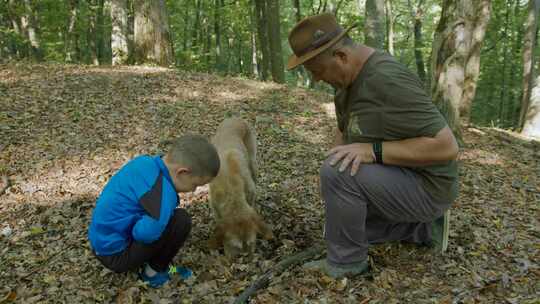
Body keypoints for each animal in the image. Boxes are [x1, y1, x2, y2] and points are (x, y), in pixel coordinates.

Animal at [208, 117, 272, 258]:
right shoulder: (215, 207)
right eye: (234, 246)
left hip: (253, 164)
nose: (245, 258)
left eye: (251, 243)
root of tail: (235, 118)